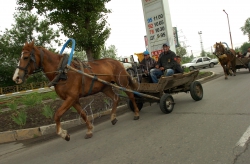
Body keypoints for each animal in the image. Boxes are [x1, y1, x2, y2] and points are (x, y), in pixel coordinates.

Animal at [12, 41, 141, 141]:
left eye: (26, 57)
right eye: (19, 57)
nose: (16, 78)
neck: (63, 72)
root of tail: (118, 61)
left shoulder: (71, 97)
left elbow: (57, 114)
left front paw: (63, 134)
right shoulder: (73, 99)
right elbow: (83, 114)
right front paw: (89, 130)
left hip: (122, 84)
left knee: (131, 95)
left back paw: (136, 113)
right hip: (105, 87)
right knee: (116, 98)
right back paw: (113, 117)